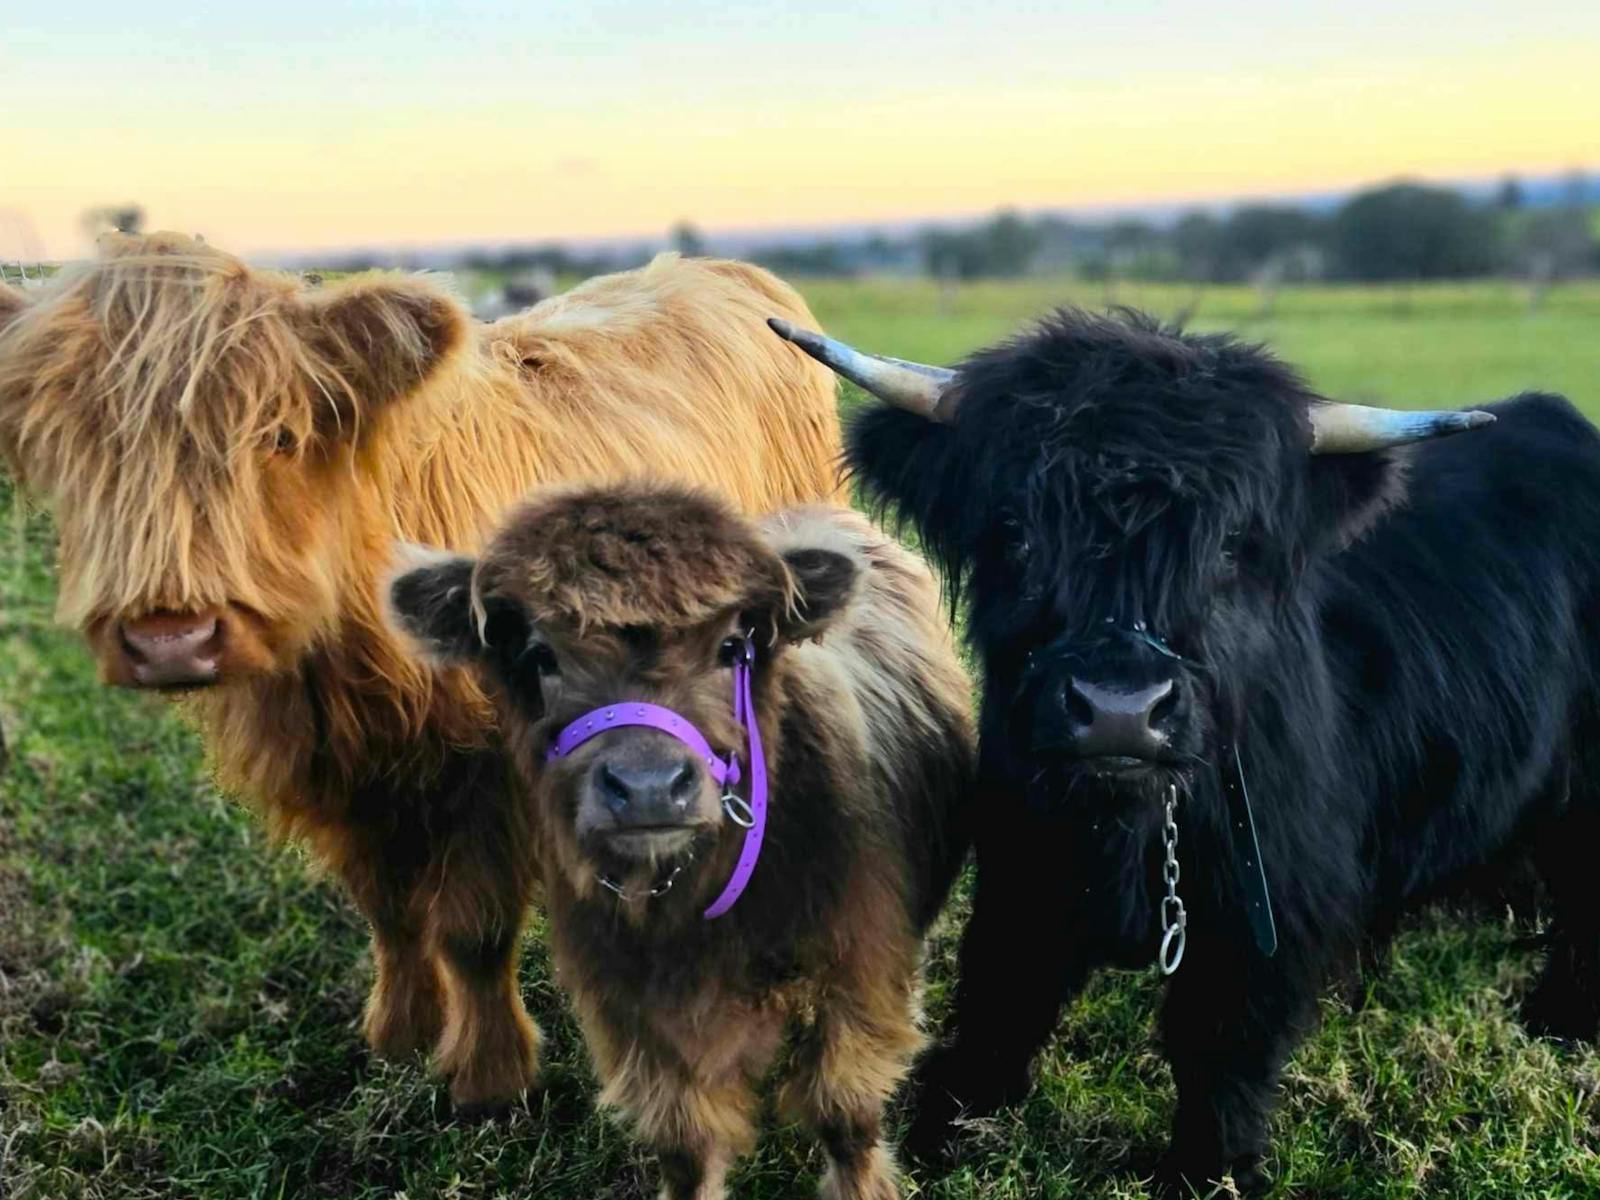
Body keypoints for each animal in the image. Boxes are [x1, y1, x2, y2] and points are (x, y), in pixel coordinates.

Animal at [0, 232, 843, 1114]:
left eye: (279, 436)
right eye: (77, 448)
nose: (170, 636)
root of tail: (727, 270)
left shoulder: (491, 777)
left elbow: (474, 932)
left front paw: (490, 1078)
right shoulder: (340, 773)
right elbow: (389, 913)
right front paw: (400, 1034)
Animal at [385, 484, 975, 1200]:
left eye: (730, 646)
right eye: (542, 656)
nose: (647, 787)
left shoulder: (858, 973)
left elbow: (845, 1113)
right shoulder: (637, 1016)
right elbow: (687, 1144)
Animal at [771, 311, 1600, 1194]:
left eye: (1232, 544)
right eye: (1018, 533)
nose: (1119, 711)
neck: (1129, 824)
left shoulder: (1264, 905)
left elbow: (1221, 1048)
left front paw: (1210, 1169)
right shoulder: (1023, 865)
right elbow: (1001, 997)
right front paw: (942, 1127)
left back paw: (1560, 1020)